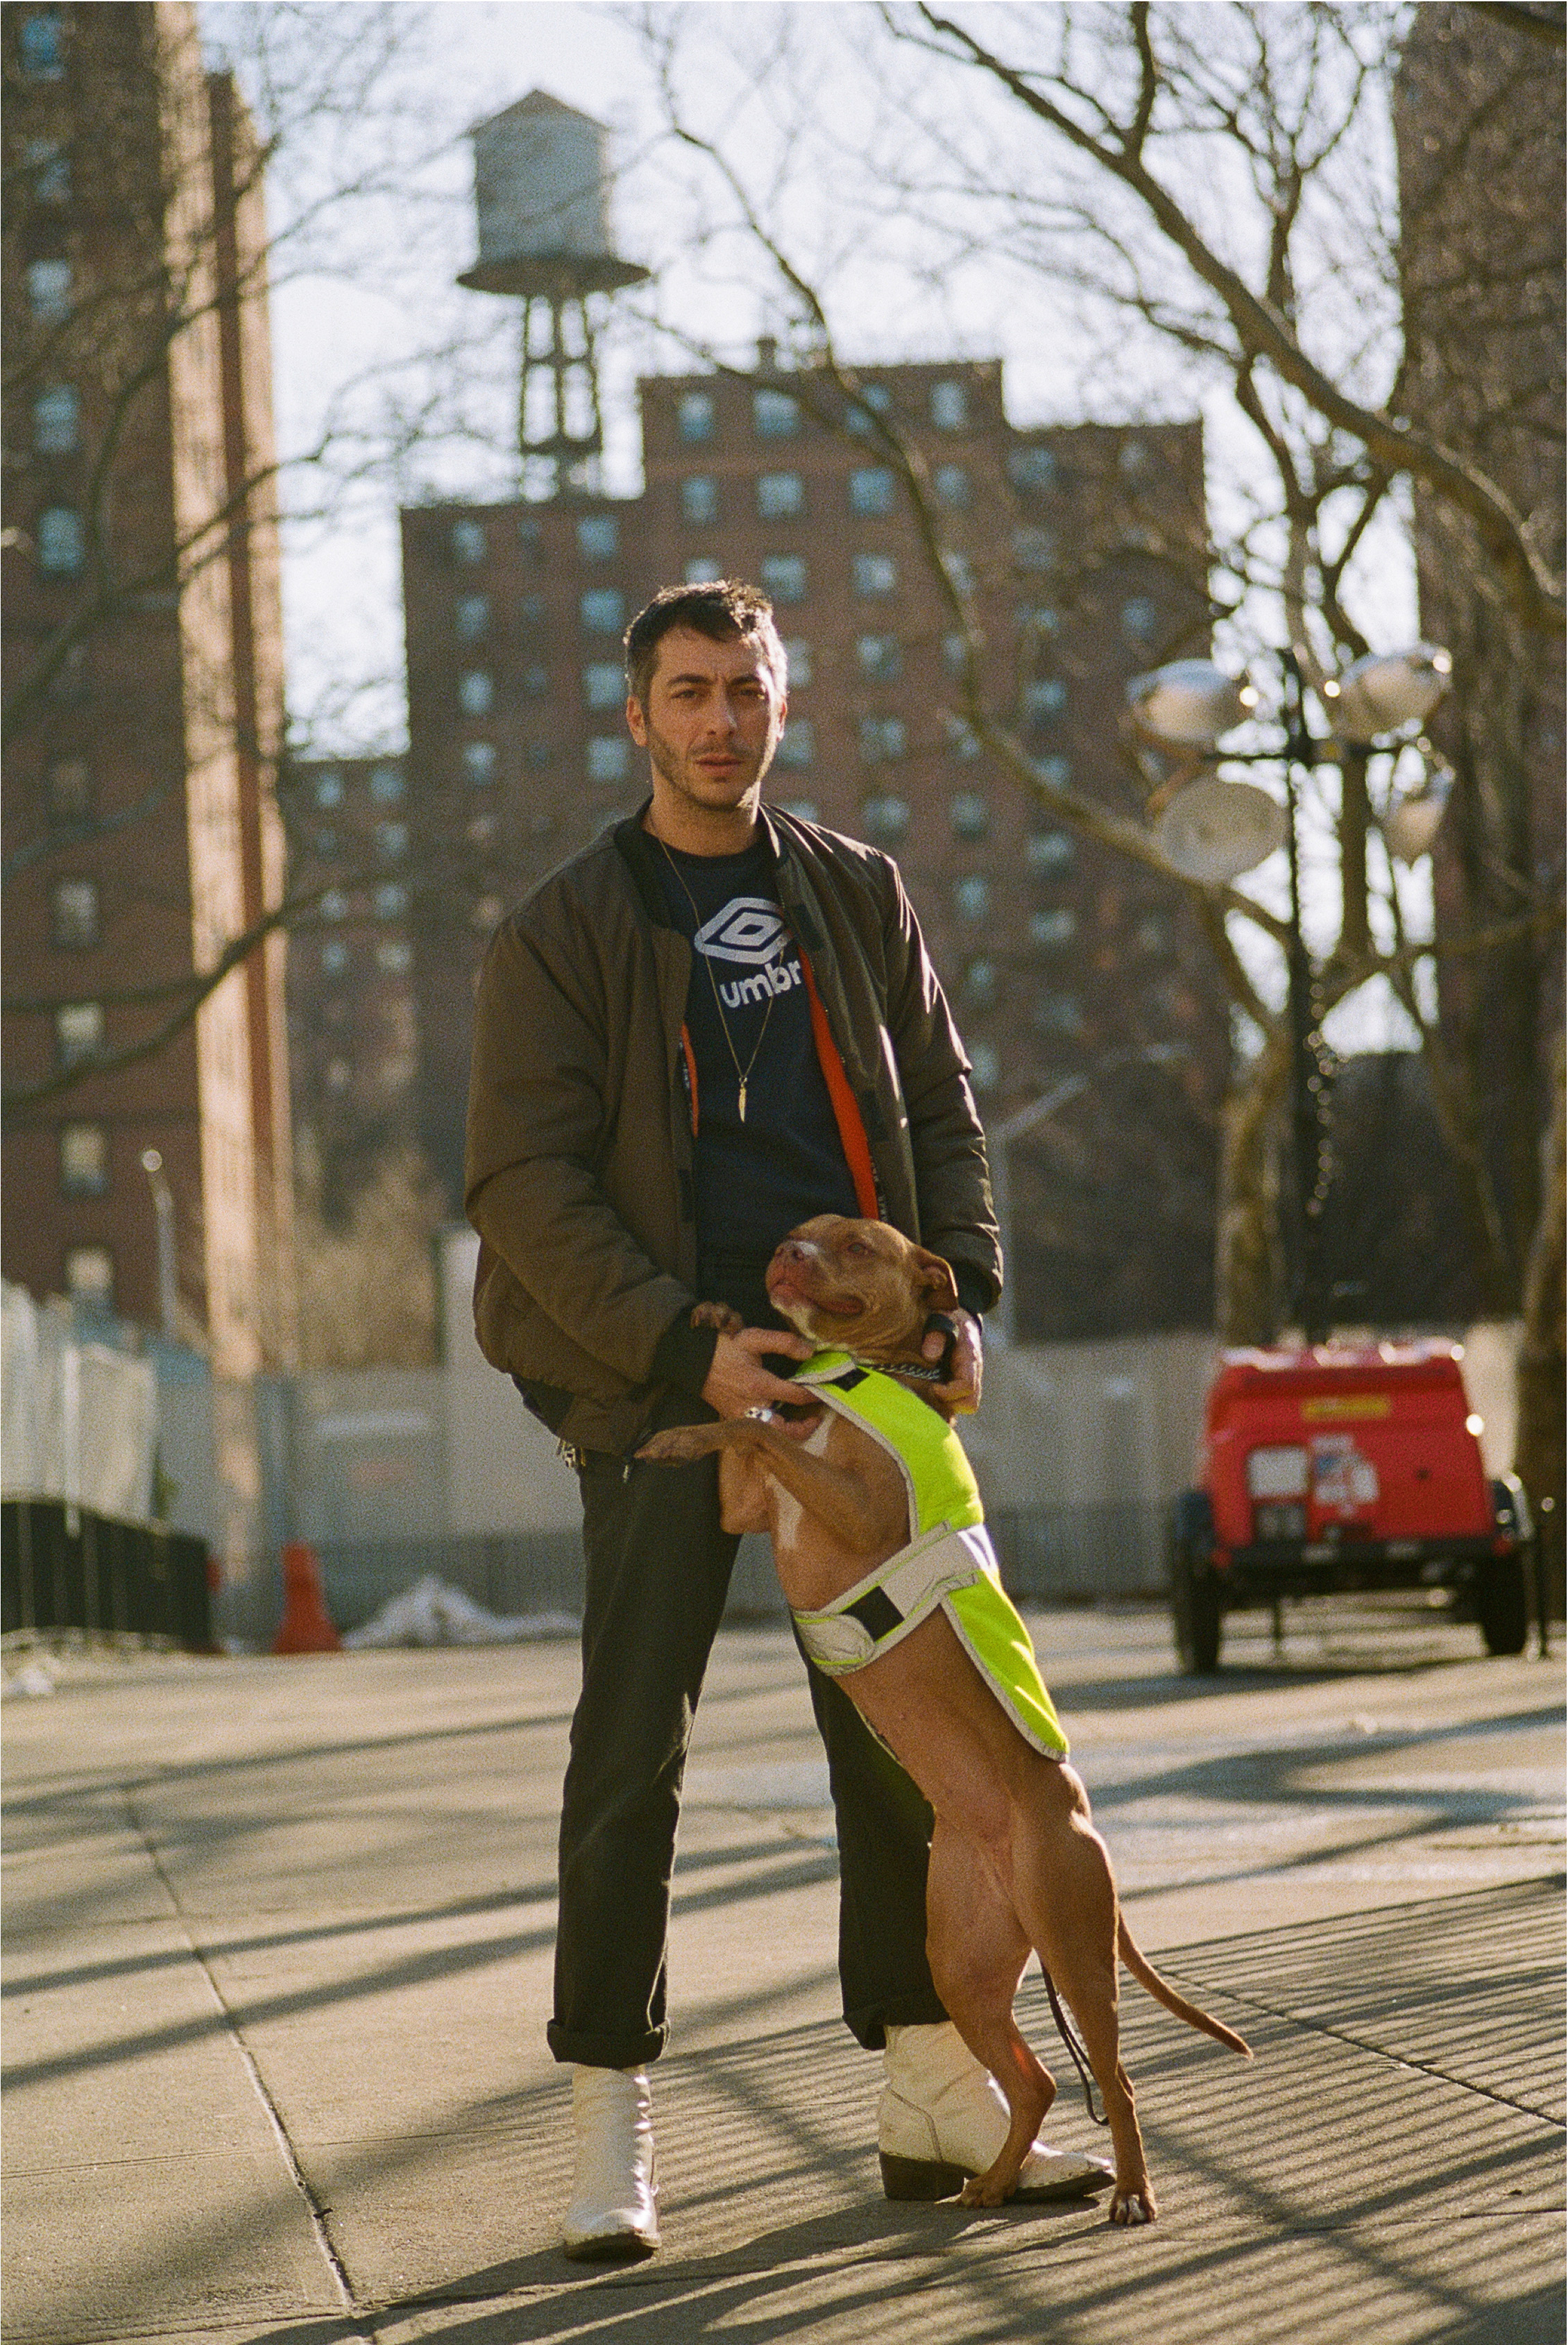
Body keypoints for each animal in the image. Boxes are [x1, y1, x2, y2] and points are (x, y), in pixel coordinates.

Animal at [637, 1219, 1247, 2223]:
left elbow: (756, 1428)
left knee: (1115, 2077)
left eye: (852, 1239)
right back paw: (995, 2181)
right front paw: (719, 1342)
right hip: (963, 1960)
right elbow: (748, 1424)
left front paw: (707, 1413)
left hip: (1076, 1948)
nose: (788, 1247)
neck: (863, 1375)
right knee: (1039, 2076)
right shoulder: (751, 1504)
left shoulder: (853, 1512)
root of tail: (1072, 1823)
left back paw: (1131, 2189)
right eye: (805, 1229)